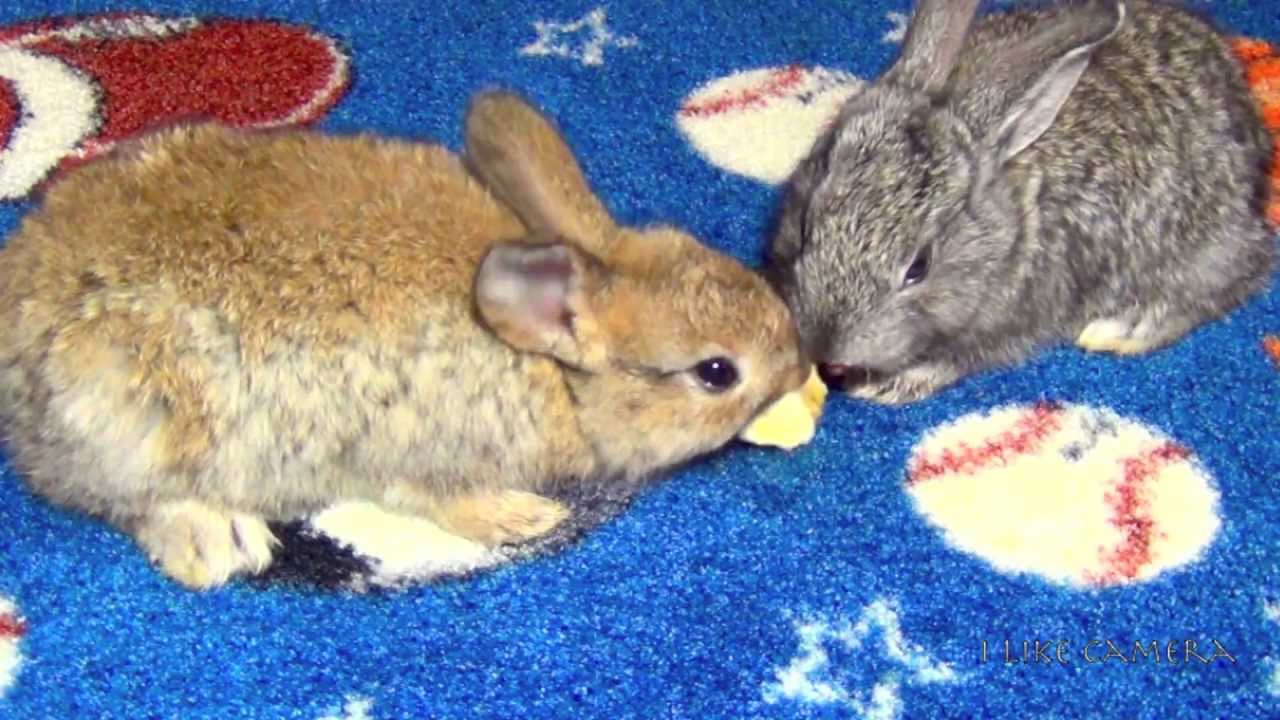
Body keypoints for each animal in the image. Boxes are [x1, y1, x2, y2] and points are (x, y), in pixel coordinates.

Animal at [0, 91, 809, 589]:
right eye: (716, 372)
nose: (800, 364)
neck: (552, 374)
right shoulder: (412, 446)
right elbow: (438, 498)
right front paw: (526, 518)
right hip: (129, 414)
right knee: (127, 500)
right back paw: (220, 544)